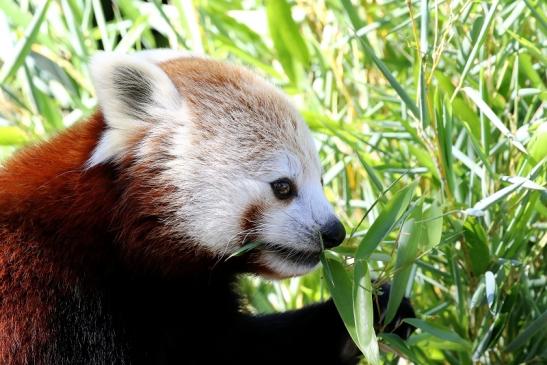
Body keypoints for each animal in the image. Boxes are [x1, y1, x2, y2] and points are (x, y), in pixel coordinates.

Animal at [0, 49, 412, 362]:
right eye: (283, 187)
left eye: (322, 181)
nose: (334, 231)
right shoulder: (55, 310)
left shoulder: (186, 309)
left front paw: (373, 311)